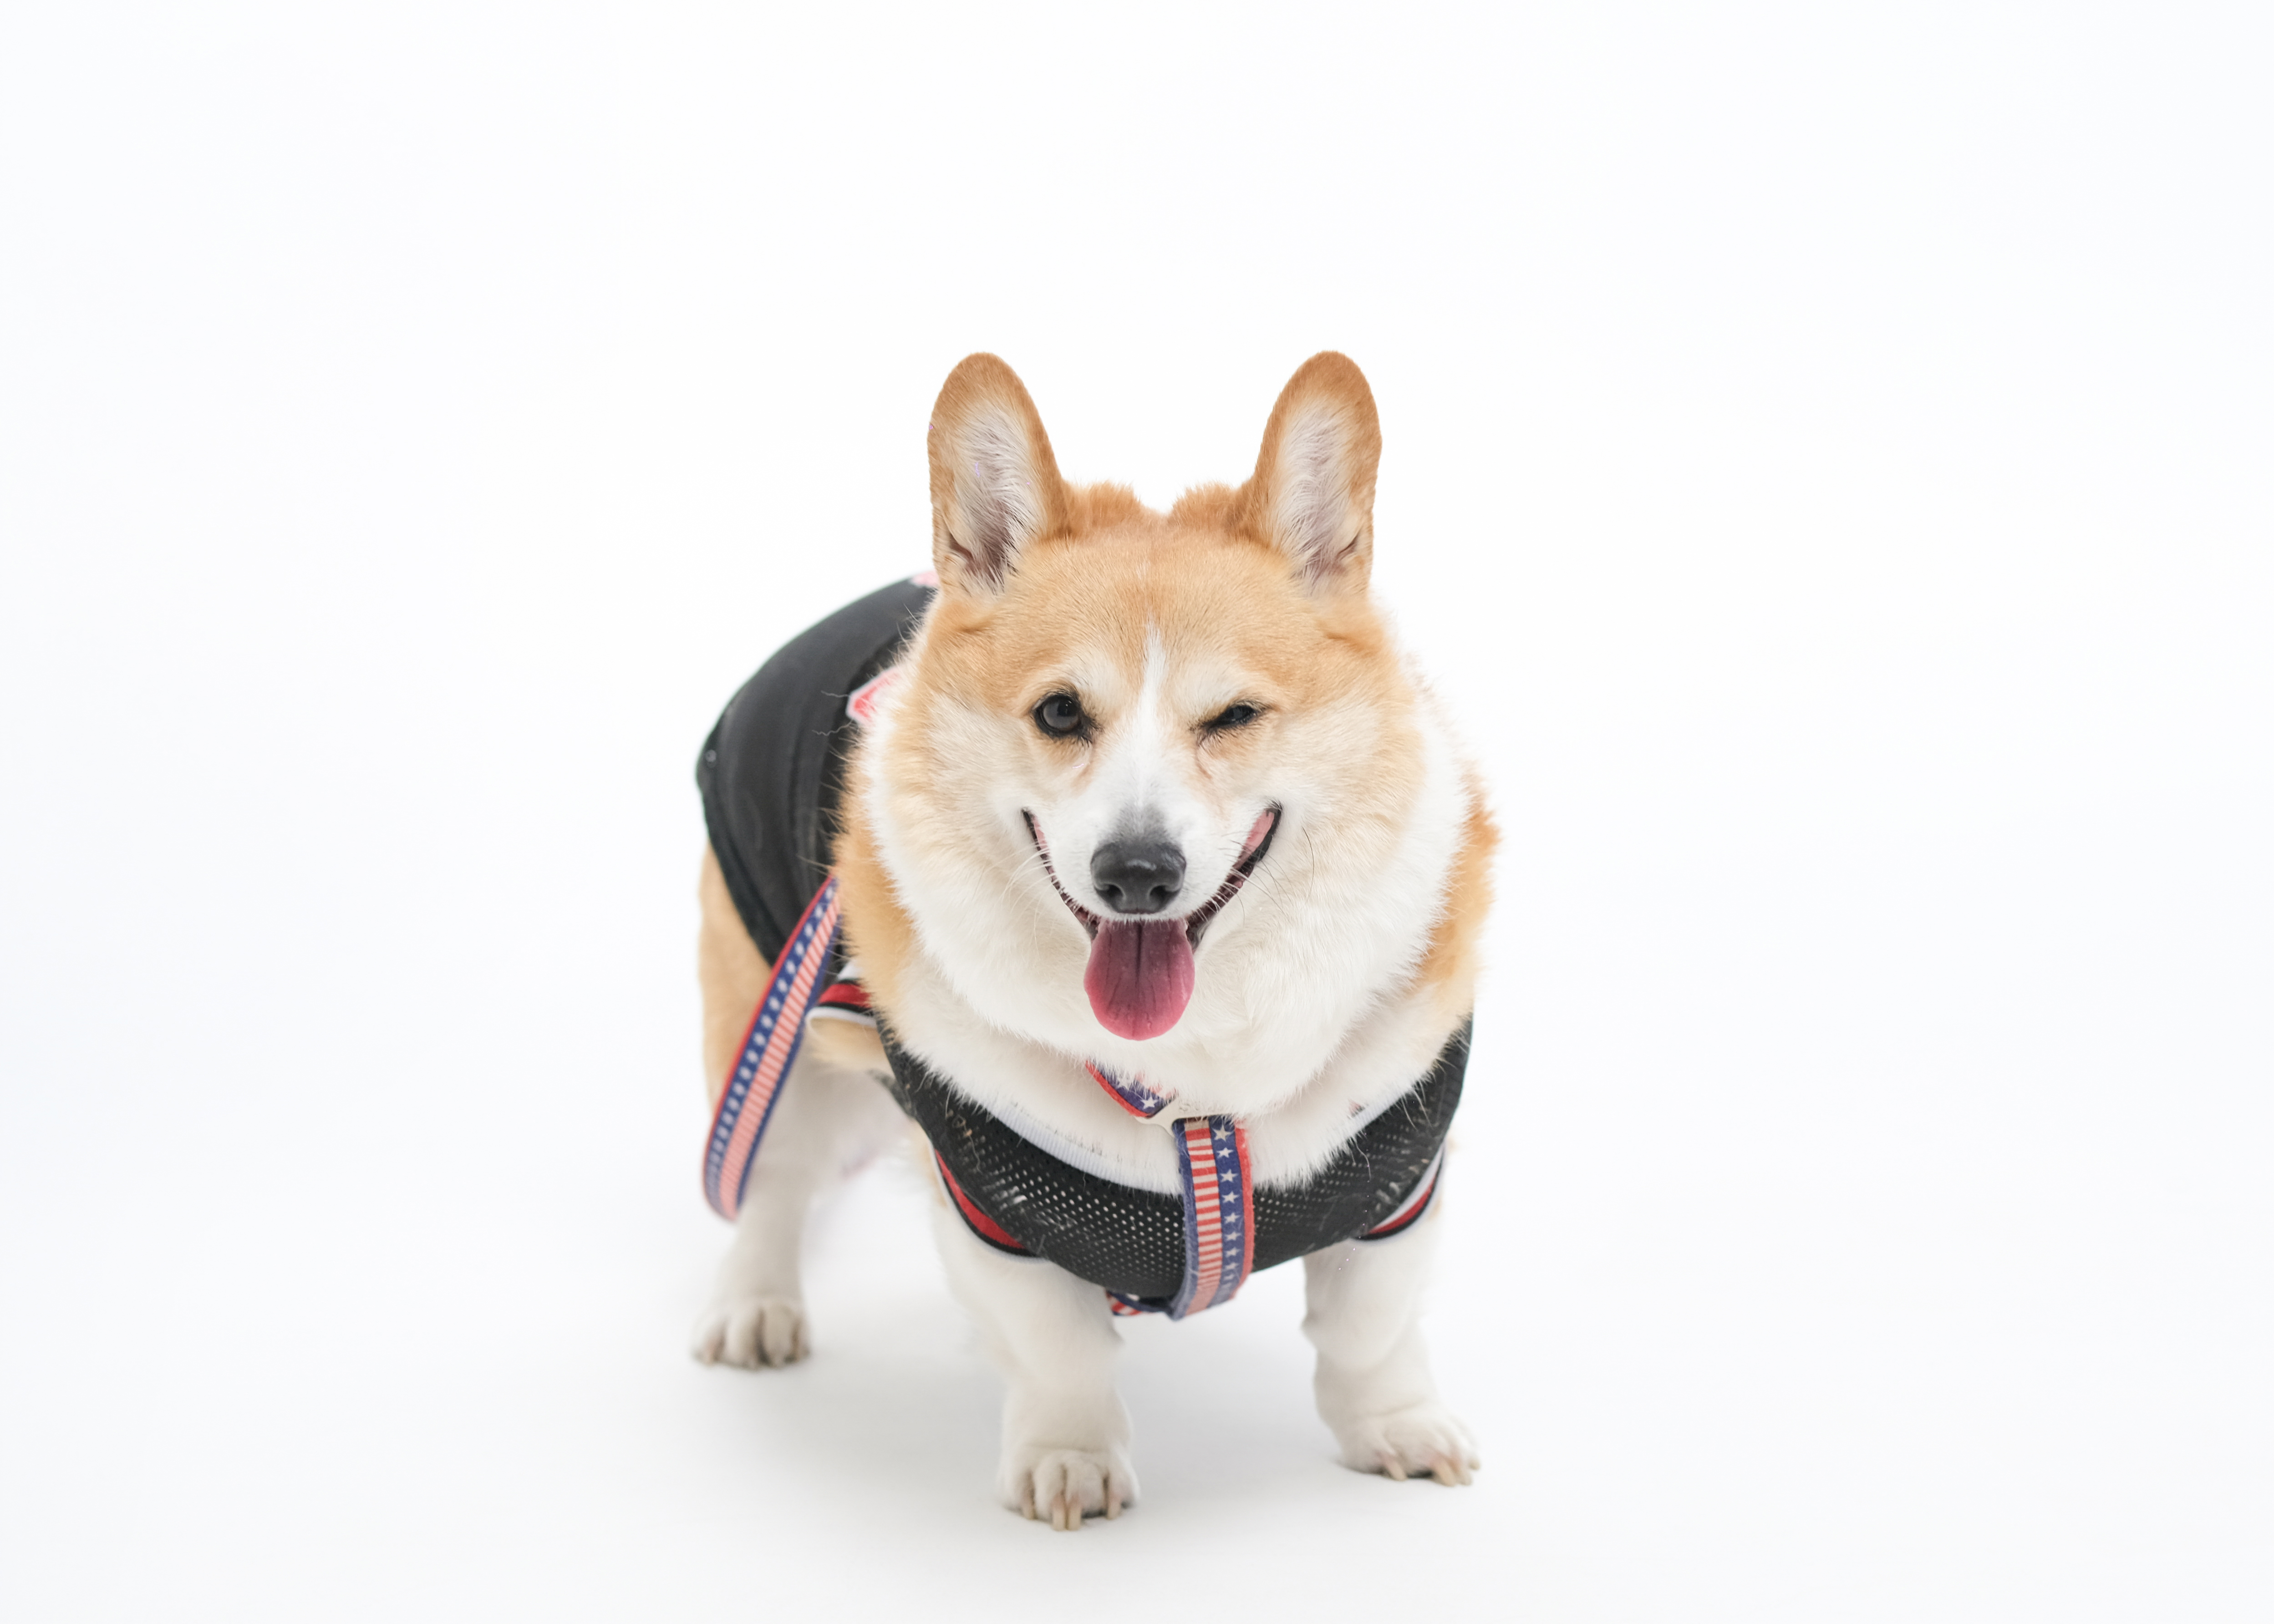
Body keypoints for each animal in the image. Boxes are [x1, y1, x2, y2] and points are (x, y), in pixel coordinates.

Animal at [689, 352, 1495, 1528]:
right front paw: (1067, 1458)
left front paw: (1394, 1429)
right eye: (1061, 713)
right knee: (769, 1181)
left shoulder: (1396, 1178)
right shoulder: (990, 1198)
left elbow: (1368, 1328)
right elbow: (1057, 1348)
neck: (1193, 1081)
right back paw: (754, 1310)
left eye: (1233, 715)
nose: (1136, 873)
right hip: (774, 1026)